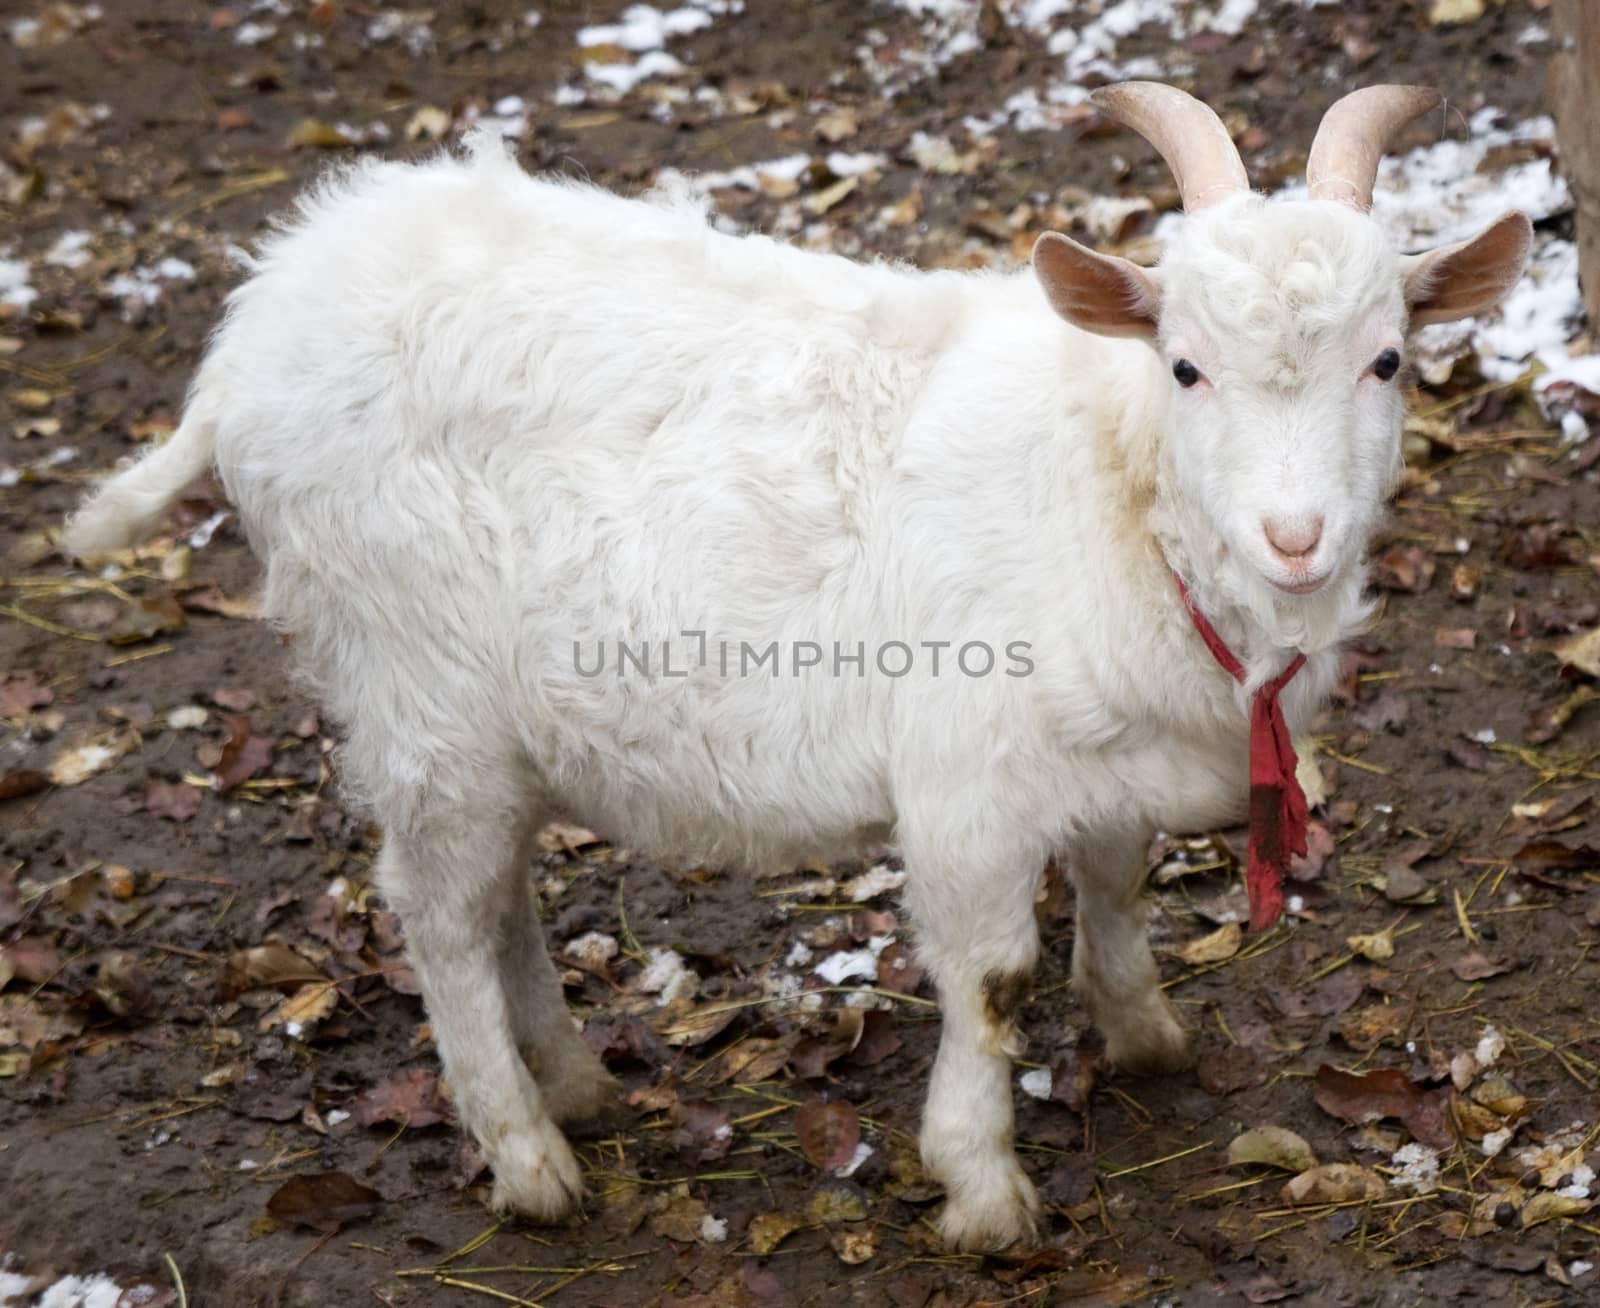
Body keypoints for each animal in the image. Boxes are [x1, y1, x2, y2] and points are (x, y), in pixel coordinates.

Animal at [68, 83, 1529, 1253]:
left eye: (1387, 358)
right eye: (1185, 367)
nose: (1296, 537)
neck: (1108, 479)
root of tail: (259, 317)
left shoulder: (1104, 756)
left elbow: (1115, 881)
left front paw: (1143, 1034)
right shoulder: (965, 779)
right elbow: (990, 975)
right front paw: (982, 1189)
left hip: (496, 717)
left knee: (497, 892)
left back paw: (575, 1084)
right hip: (416, 680)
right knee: (436, 909)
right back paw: (527, 1157)